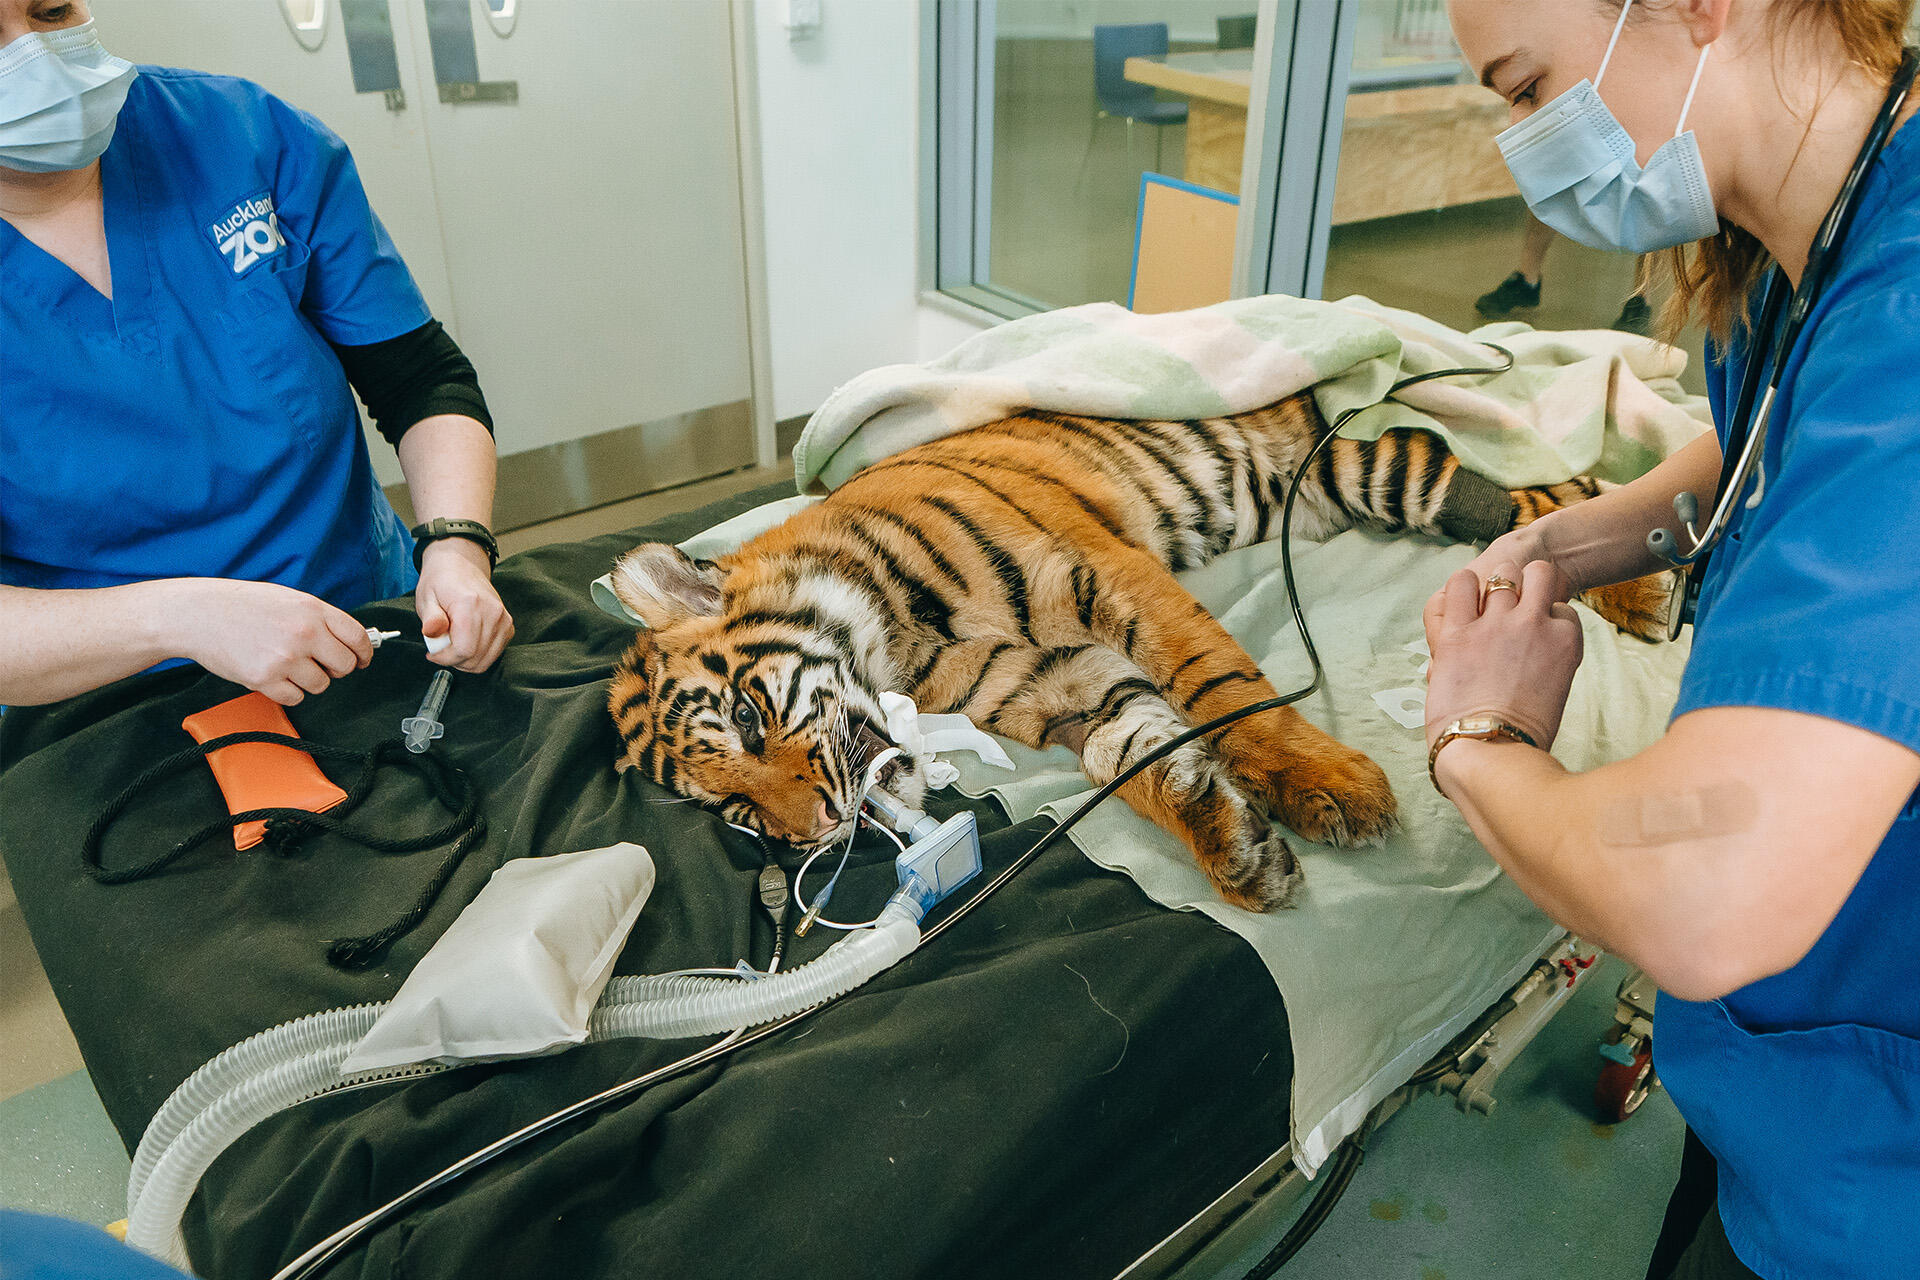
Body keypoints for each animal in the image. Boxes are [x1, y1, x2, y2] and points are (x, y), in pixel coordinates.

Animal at [604, 393, 1670, 912]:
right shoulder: (1058, 685)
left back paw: (1647, 587)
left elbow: (1219, 685)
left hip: (1381, 474)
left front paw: (1328, 783)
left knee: (1546, 498)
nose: (821, 827)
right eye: (744, 817)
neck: (899, 648)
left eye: (749, 718)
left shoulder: (1102, 574)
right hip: (1331, 488)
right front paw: (1237, 850)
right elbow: (1140, 757)